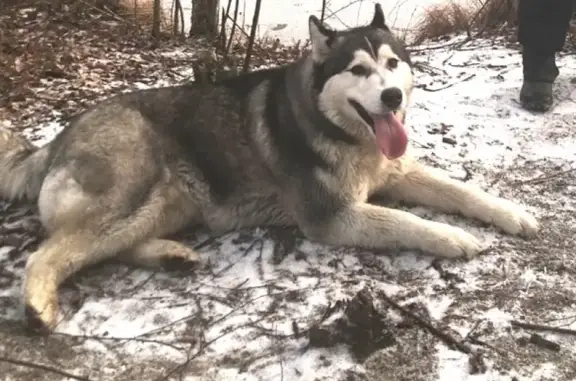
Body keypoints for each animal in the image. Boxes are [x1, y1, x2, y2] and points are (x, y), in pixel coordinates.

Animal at [0, 4, 540, 332]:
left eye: (392, 63)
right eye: (358, 70)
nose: (391, 96)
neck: (339, 130)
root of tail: (59, 136)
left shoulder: (399, 172)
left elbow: (464, 191)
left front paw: (514, 214)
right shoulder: (332, 217)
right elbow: (406, 221)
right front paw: (456, 238)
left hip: (168, 204)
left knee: (103, 248)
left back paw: (172, 256)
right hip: (129, 195)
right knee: (50, 252)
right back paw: (39, 307)